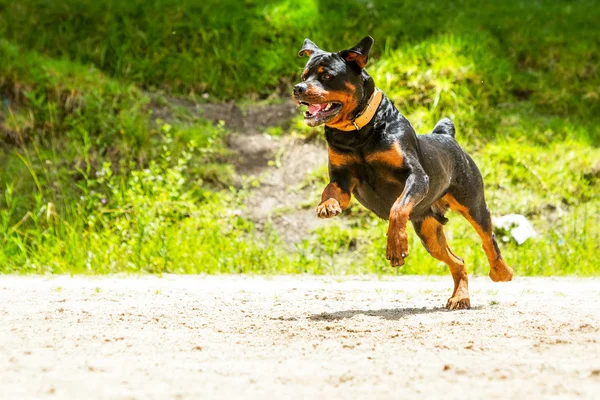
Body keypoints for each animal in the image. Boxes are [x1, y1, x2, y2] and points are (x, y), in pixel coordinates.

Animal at [292, 36, 512, 310]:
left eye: (327, 76)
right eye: (304, 75)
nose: (298, 88)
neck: (358, 133)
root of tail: (446, 135)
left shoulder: (415, 177)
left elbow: (397, 209)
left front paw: (396, 248)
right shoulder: (342, 179)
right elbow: (330, 191)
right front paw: (327, 206)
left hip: (472, 203)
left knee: (488, 238)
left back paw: (501, 272)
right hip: (429, 232)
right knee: (457, 260)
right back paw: (460, 296)